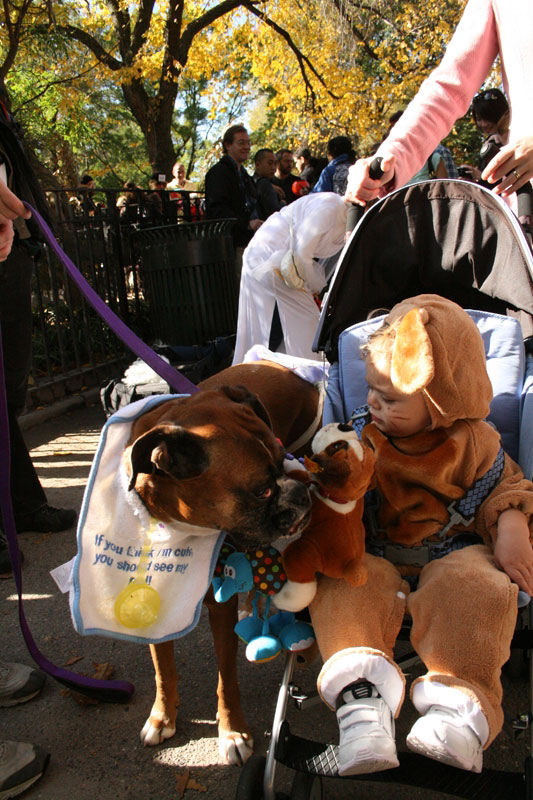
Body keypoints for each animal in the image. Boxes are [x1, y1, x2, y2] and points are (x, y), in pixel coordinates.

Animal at [124, 360, 320, 764]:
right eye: (262, 490)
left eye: (283, 462)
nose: (299, 491)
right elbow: (163, 670)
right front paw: (162, 717)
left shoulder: (220, 607)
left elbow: (226, 675)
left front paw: (233, 732)